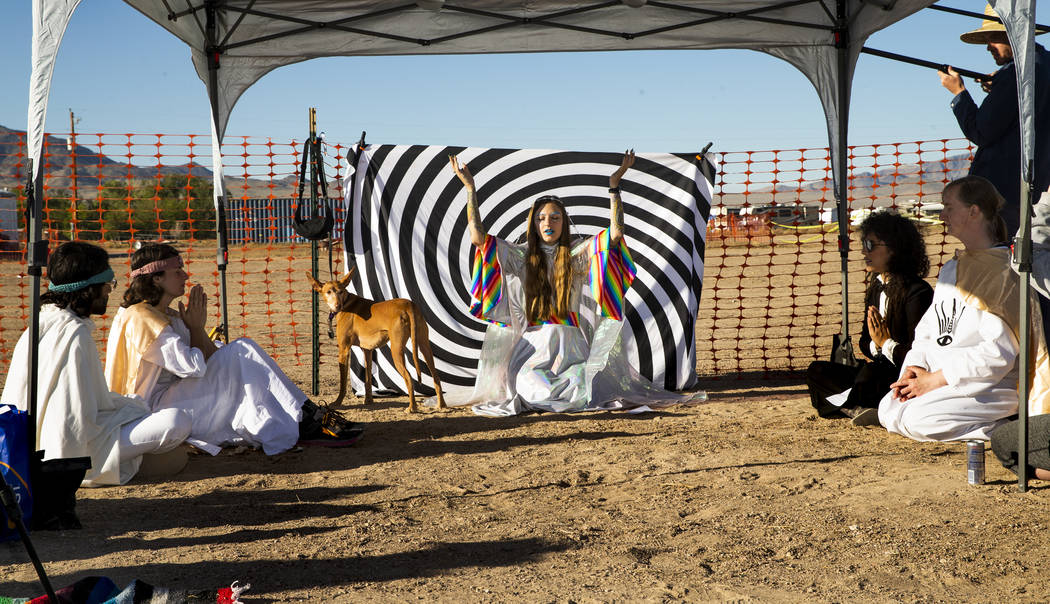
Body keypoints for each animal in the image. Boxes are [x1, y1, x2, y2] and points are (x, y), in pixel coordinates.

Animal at [306, 271, 447, 415]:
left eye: (340, 291)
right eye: (328, 292)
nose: (337, 306)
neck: (347, 303)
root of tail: (409, 305)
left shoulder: (344, 350)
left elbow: (343, 382)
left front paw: (337, 402)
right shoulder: (367, 350)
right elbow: (368, 379)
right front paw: (368, 400)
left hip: (396, 350)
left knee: (408, 377)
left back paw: (412, 407)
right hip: (424, 346)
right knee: (436, 376)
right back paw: (441, 405)